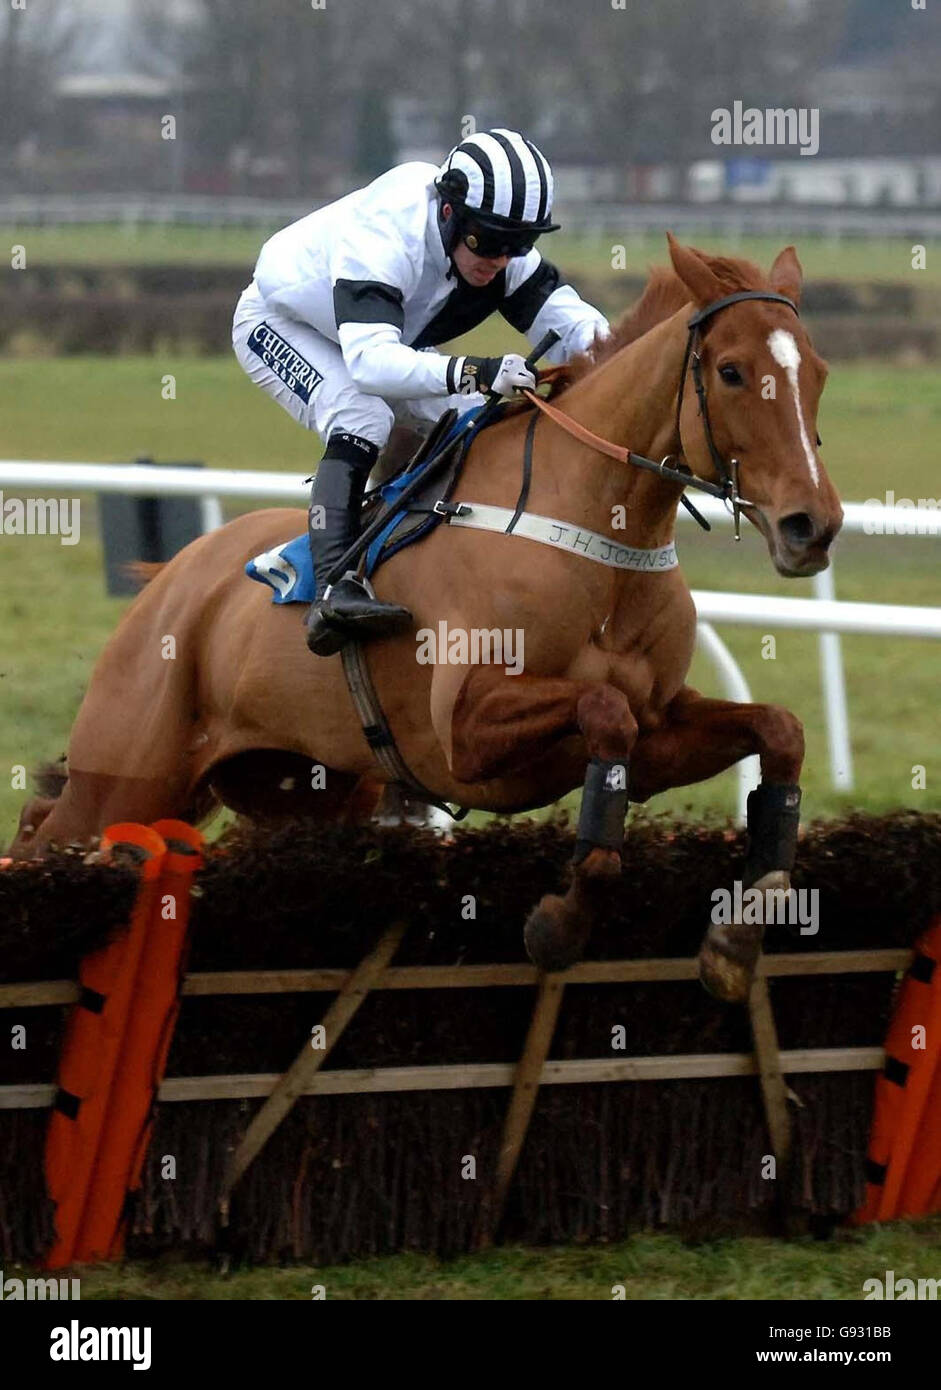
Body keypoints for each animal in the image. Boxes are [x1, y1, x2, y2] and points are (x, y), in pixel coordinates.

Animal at [7, 236, 839, 1000]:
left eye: (817, 373)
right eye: (730, 371)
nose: (811, 526)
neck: (589, 528)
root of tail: (171, 580)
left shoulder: (662, 728)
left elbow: (776, 731)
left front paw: (736, 934)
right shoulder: (464, 732)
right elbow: (606, 712)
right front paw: (560, 921)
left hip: (299, 791)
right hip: (126, 778)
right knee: (44, 835)